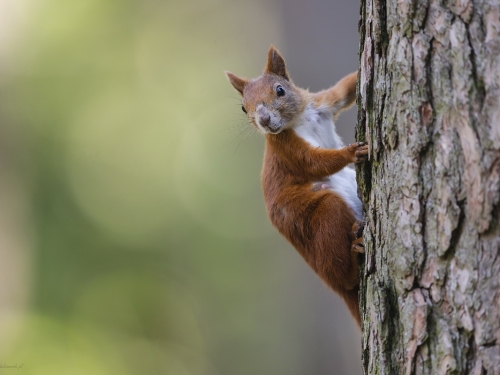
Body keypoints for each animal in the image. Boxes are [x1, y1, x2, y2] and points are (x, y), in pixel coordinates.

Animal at [227, 45, 368, 326]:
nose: (264, 120)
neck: (299, 120)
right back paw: (352, 256)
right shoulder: (287, 150)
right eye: (244, 108)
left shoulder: (323, 102)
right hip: (320, 218)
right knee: (343, 278)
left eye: (280, 90)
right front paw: (350, 153)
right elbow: (315, 163)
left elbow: (345, 89)